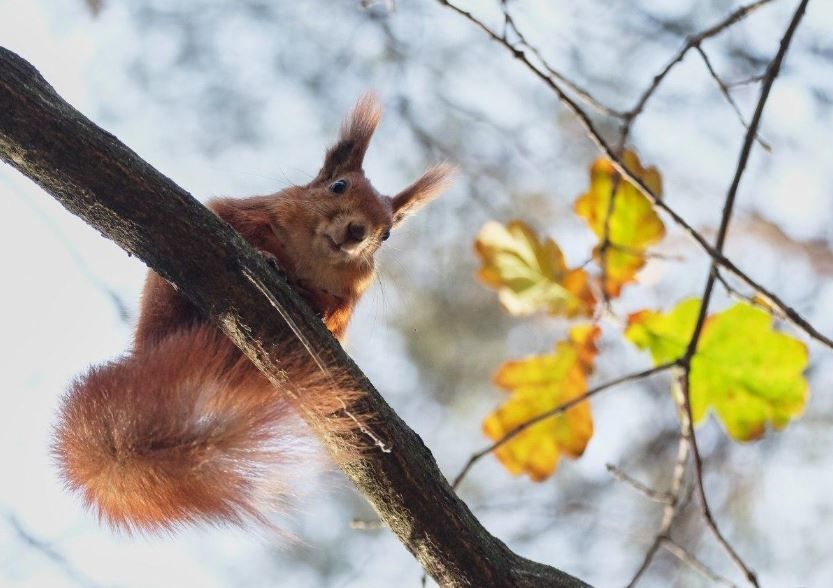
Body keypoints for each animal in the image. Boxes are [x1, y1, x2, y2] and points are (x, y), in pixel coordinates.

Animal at [54, 95, 452, 532]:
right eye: (338, 185)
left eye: (387, 233)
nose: (356, 232)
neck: (311, 255)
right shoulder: (244, 212)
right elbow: (247, 230)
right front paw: (269, 257)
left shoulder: (347, 301)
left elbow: (332, 313)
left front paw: (316, 307)